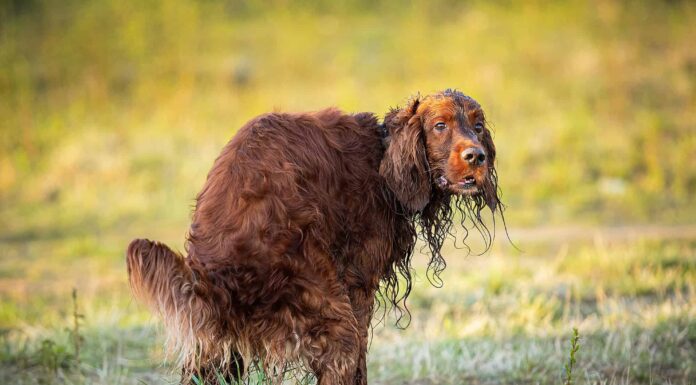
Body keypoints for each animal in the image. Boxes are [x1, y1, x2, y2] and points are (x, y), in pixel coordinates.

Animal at [128, 89, 502, 380]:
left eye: (478, 126)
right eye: (440, 126)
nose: (477, 156)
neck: (383, 158)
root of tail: (215, 273)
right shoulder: (358, 287)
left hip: (218, 342)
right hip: (329, 312)